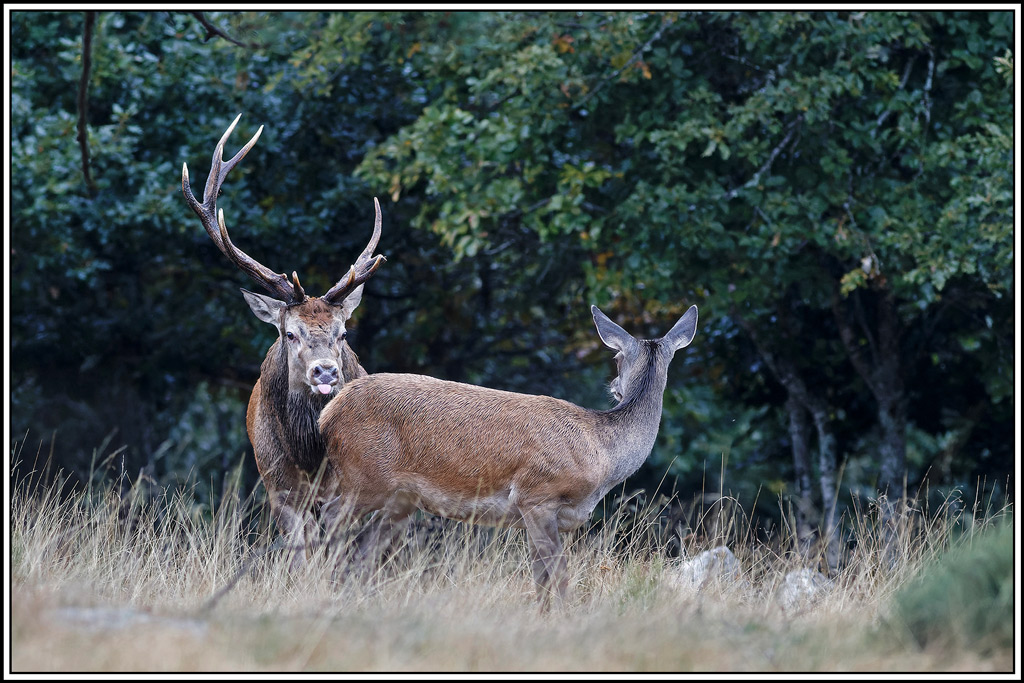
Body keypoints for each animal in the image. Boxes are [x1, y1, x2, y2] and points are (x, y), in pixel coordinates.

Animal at [181, 114, 385, 569]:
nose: (326, 371)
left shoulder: (344, 491)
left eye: (342, 333)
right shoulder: (279, 487)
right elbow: (300, 557)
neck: (308, 454)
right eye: (289, 333)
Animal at [317, 303, 698, 605]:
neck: (602, 452)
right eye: (617, 357)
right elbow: (558, 573)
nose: (615, 388)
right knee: (331, 518)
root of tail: (329, 412)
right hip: (363, 475)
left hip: (400, 498)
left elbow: (540, 577)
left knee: (364, 548)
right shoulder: (537, 495)